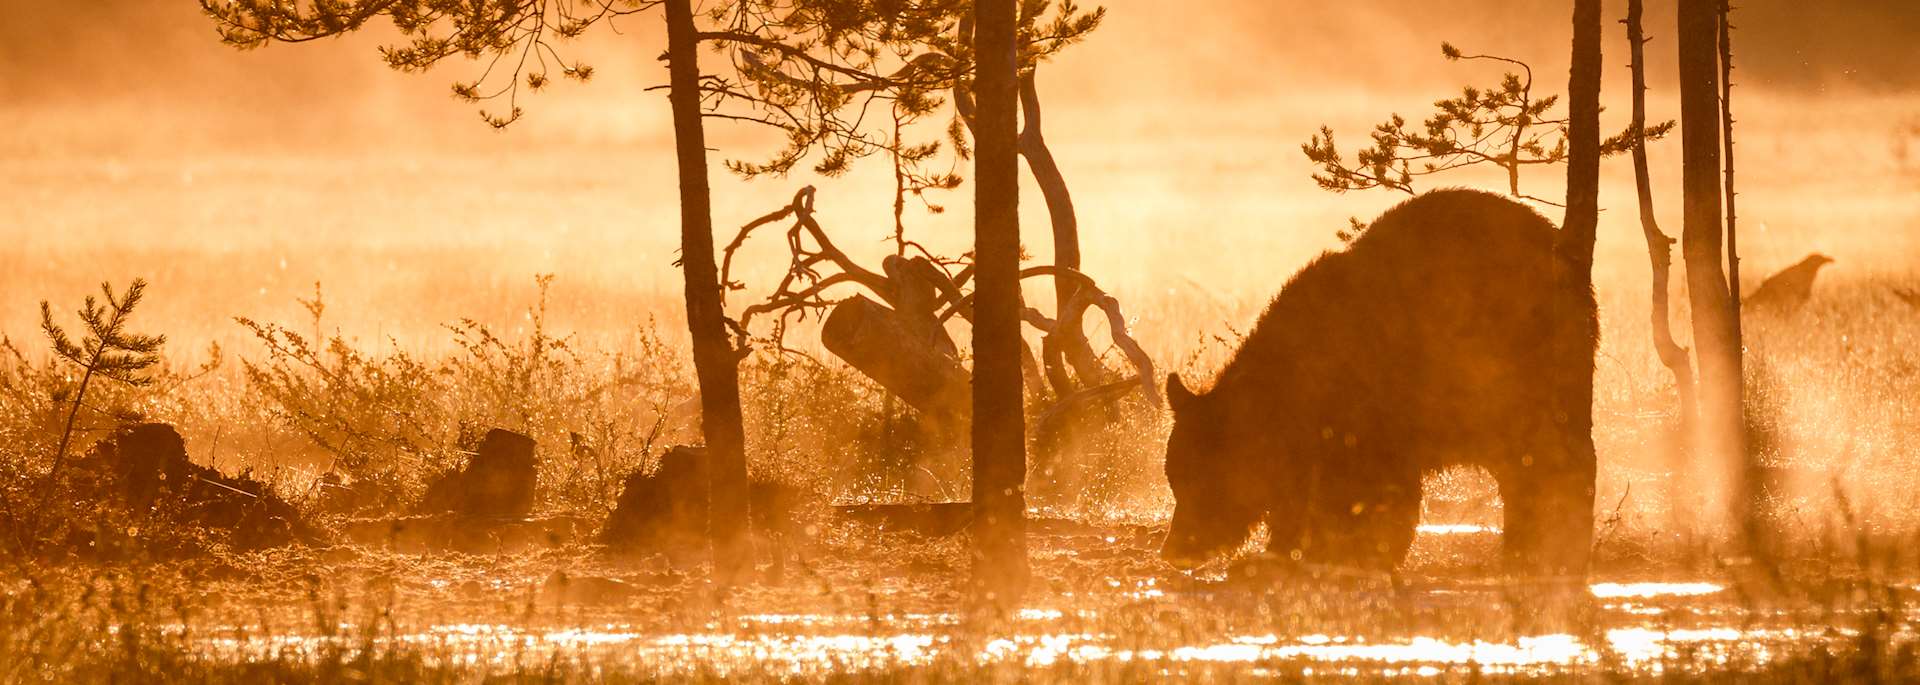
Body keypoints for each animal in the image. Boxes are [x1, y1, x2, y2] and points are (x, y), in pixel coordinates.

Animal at [1160, 189, 1597, 577]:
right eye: (1175, 478)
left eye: (1204, 481)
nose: (1174, 550)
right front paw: (1285, 551)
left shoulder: (1376, 412)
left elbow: (1375, 495)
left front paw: (1357, 553)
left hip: (1527, 365)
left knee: (1551, 455)